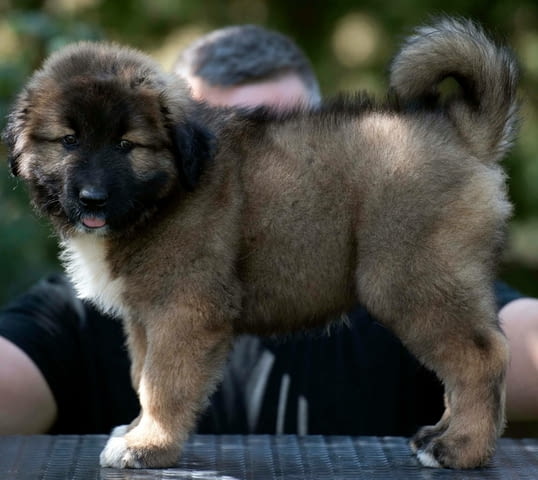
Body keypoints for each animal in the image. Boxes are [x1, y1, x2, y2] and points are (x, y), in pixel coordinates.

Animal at [2, 18, 516, 468]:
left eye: (127, 145)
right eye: (69, 141)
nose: (93, 198)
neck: (166, 194)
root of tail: (463, 133)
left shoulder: (183, 309)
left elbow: (163, 384)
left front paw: (148, 445)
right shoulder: (145, 316)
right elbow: (142, 377)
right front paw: (136, 431)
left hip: (411, 280)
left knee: (481, 358)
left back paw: (461, 448)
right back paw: (439, 435)